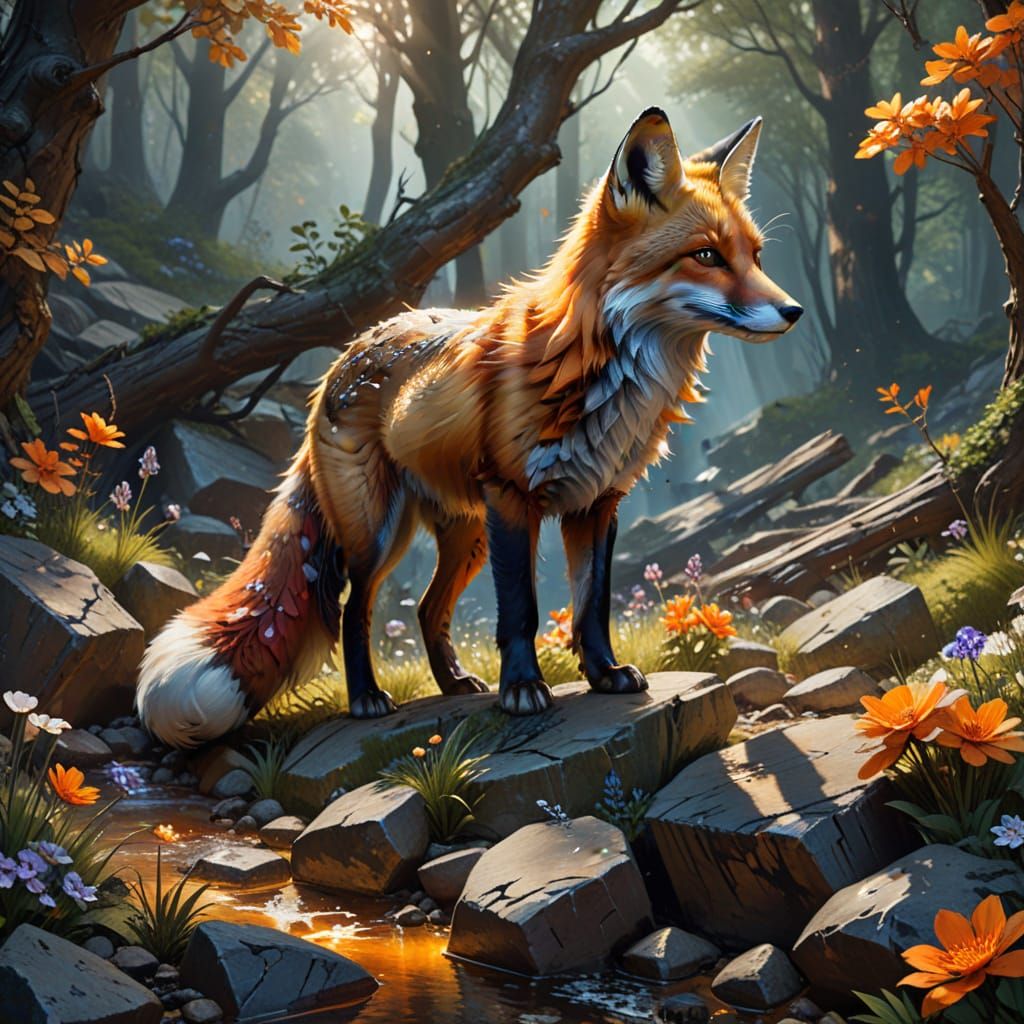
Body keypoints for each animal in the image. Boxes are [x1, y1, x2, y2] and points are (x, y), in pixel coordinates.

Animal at [136, 107, 802, 748]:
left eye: (756, 256)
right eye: (707, 256)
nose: (794, 311)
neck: (598, 376)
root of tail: (345, 355)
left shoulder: (597, 502)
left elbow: (591, 605)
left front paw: (604, 675)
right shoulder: (513, 498)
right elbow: (522, 612)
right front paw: (523, 690)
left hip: (467, 534)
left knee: (429, 611)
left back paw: (454, 682)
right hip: (382, 533)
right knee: (355, 611)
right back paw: (366, 699)